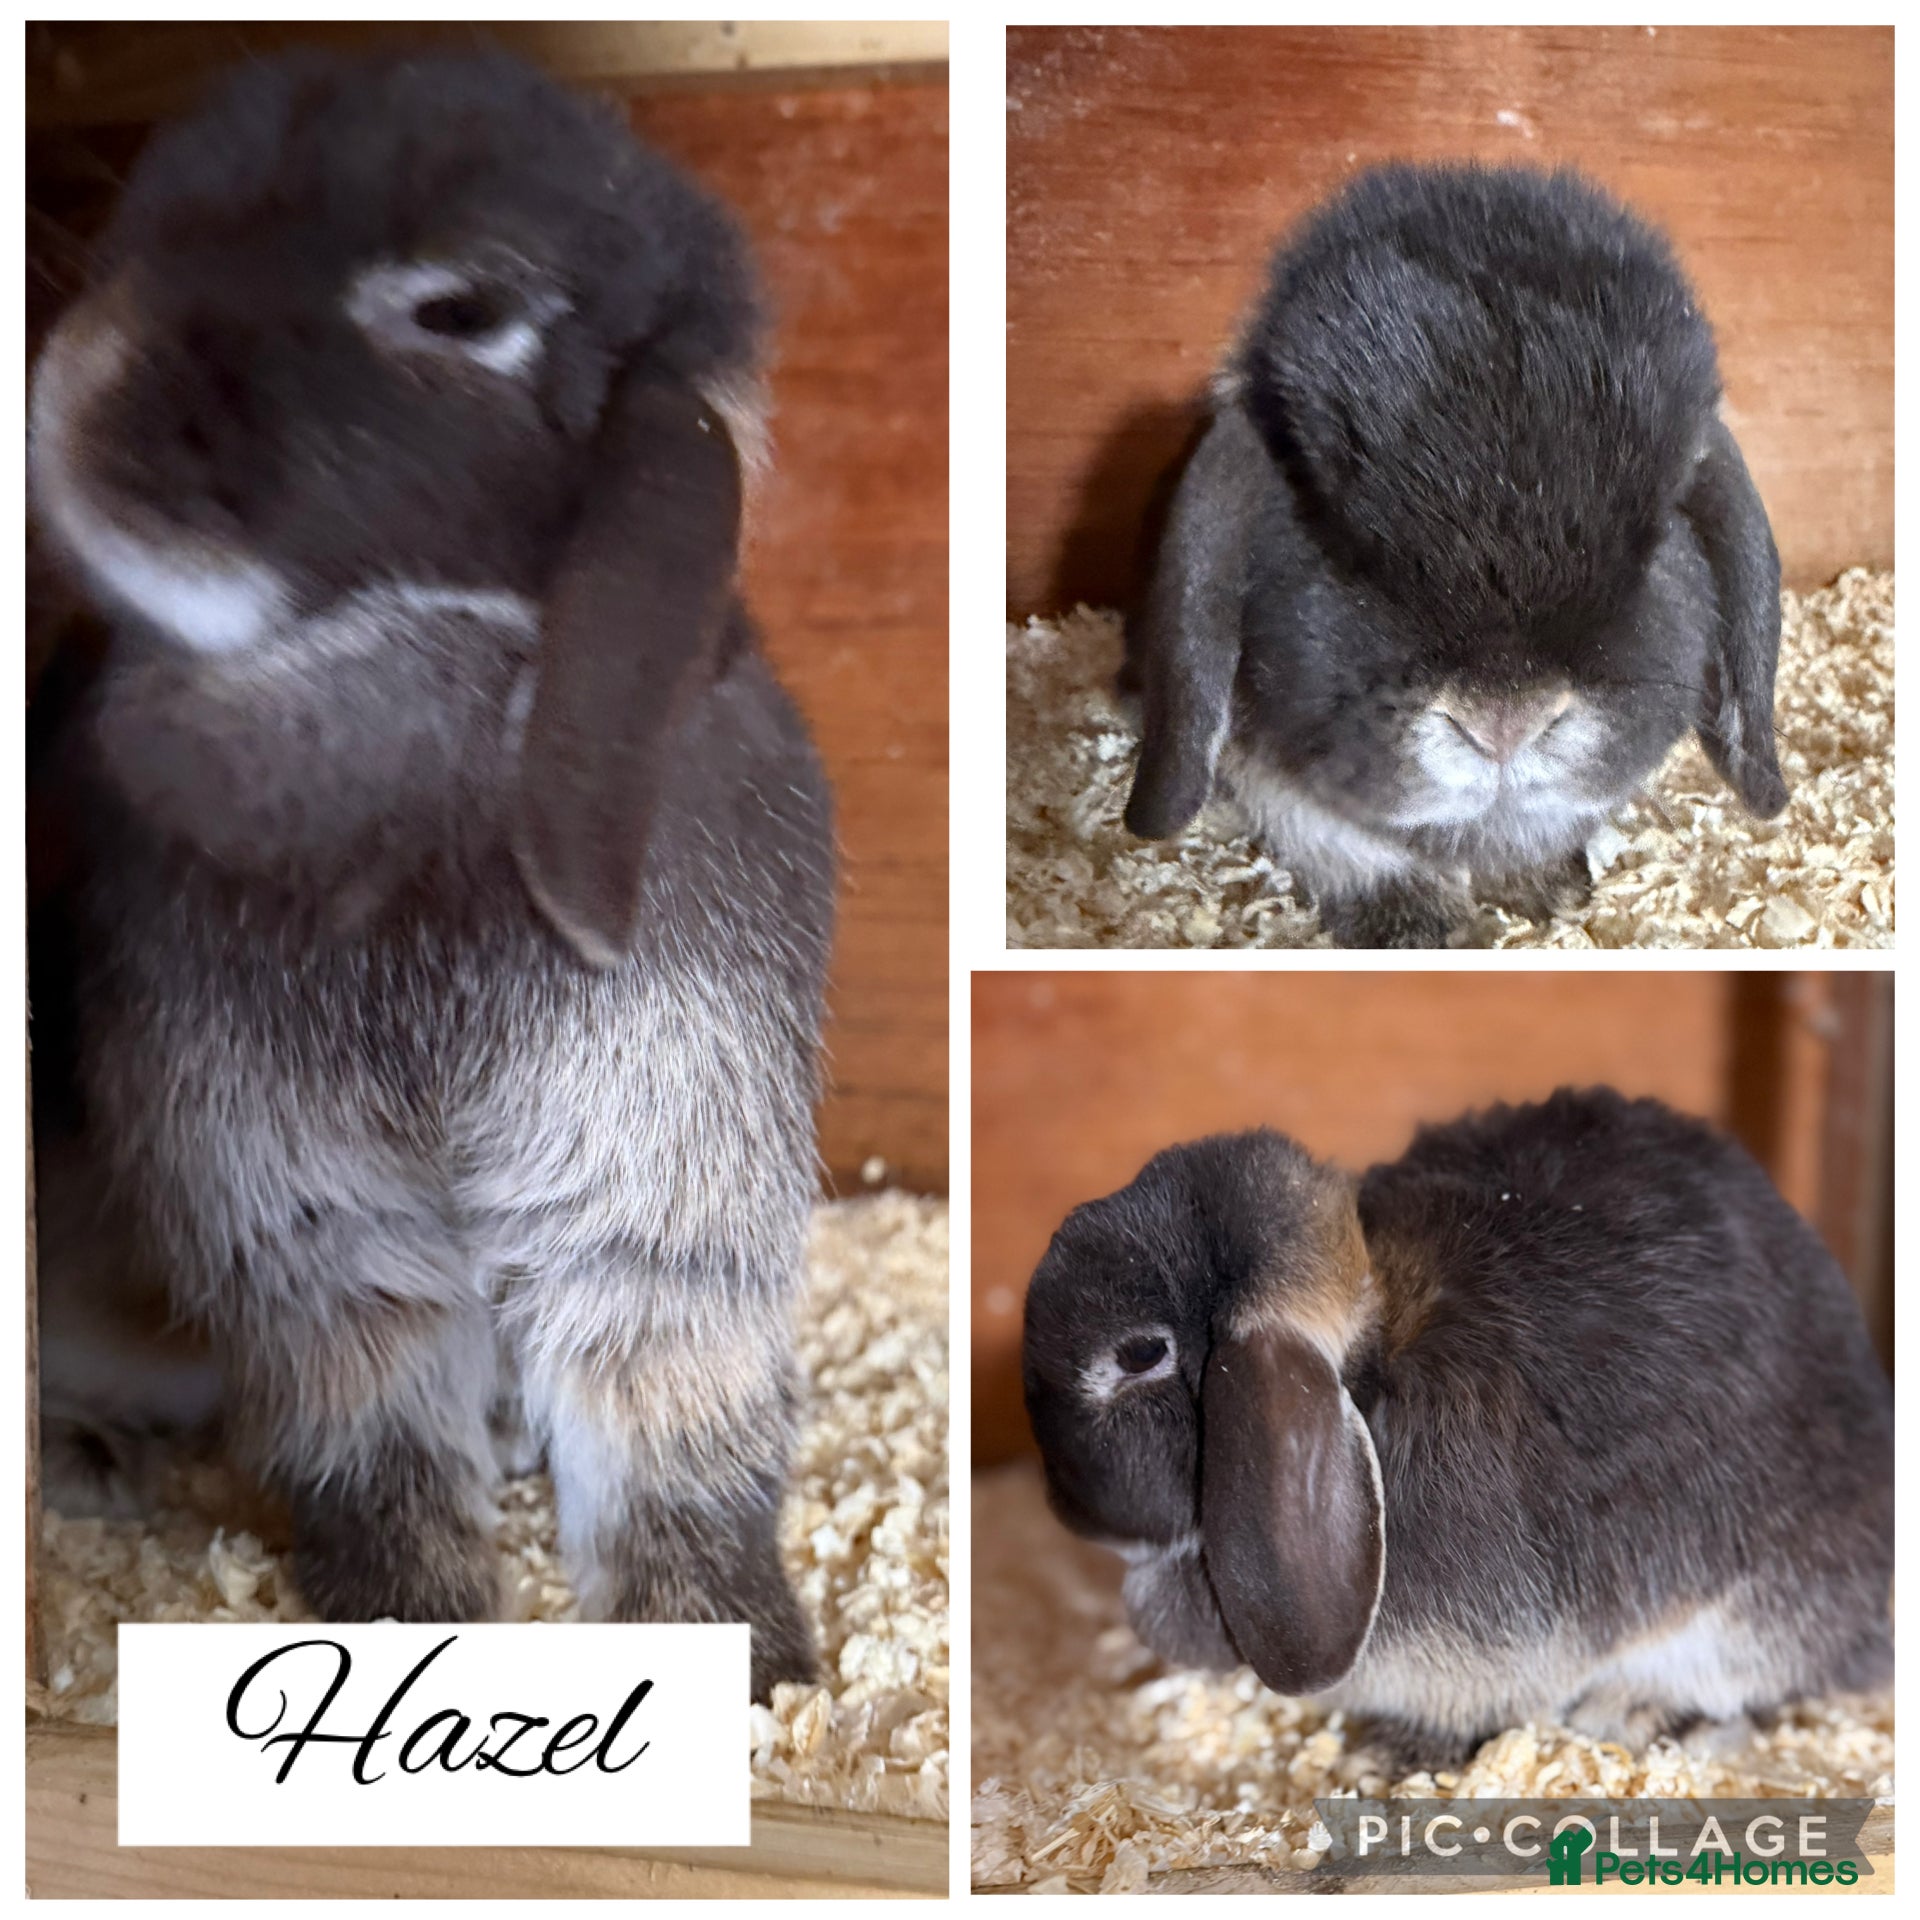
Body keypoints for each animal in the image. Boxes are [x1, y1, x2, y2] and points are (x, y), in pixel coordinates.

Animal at [26, 48, 835, 1697]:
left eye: (460, 310)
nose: (75, 384)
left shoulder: (659, 1200)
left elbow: (674, 1431)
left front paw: (748, 1665)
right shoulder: (306, 1227)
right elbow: (375, 1437)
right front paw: (416, 1618)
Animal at [1022, 1090, 1893, 1760]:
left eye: (1141, 1354)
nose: (1068, 1510)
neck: (1368, 1367)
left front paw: (1390, 1752)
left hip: (1754, 1610)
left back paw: (1645, 1717)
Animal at [1121, 164, 1789, 947]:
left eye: (1655, 540)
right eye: (1327, 532)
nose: (1504, 721)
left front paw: (1547, 892)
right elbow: (1347, 848)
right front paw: (1422, 931)